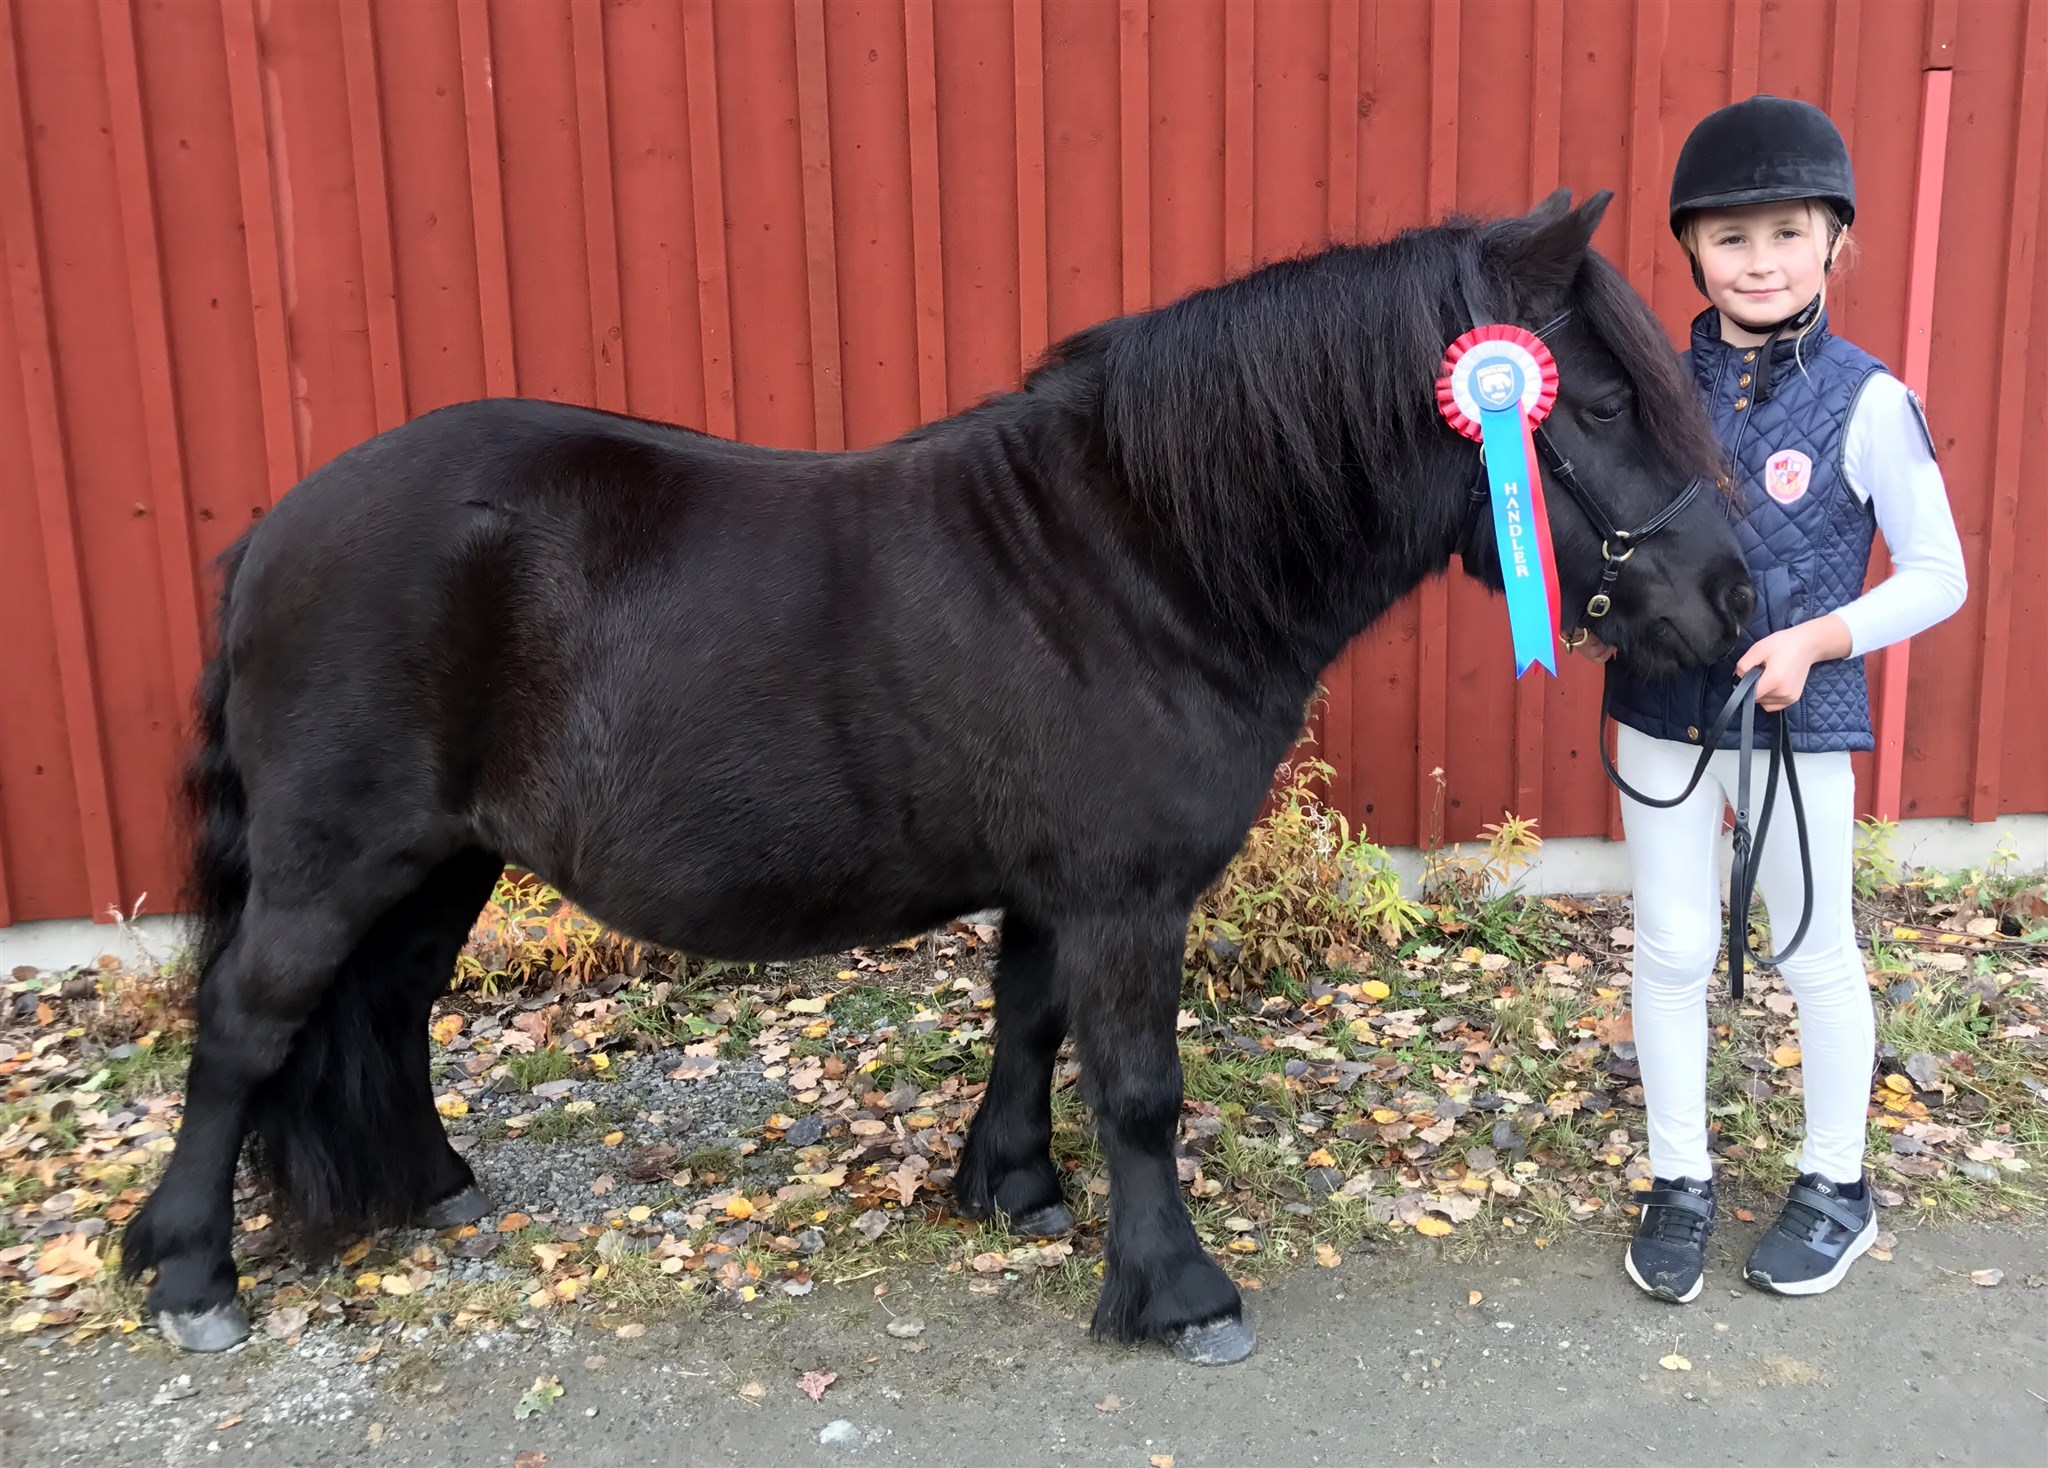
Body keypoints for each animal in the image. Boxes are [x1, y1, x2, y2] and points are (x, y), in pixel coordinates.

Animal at [119, 189, 1744, 1359]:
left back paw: (419, 1194)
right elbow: (1138, 1090)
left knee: (383, 1012)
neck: (1135, 557)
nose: (1731, 600)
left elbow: (1025, 1028)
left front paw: (1012, 1189)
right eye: (1600, 406)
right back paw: (193, 1275)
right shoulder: (1125, 897)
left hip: (441, 860)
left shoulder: (1054, 888)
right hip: (336, 857)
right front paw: (1179, 1293)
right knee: (246, 1029)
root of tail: (275, 529)